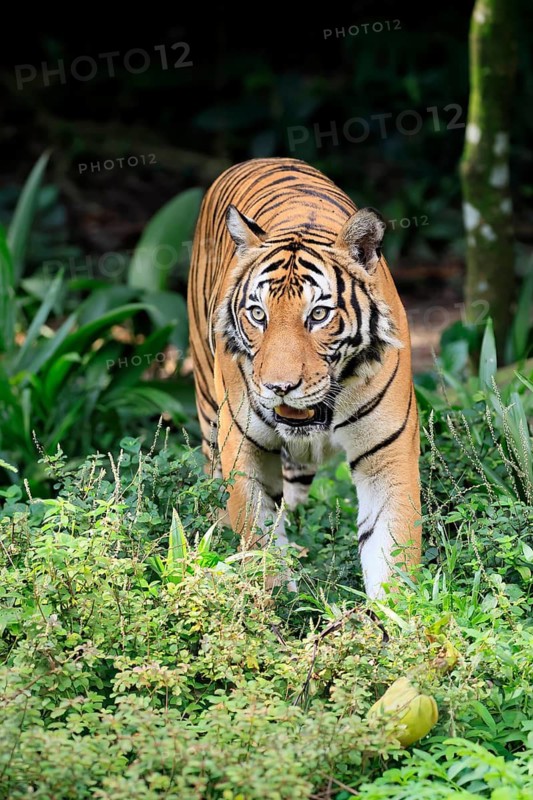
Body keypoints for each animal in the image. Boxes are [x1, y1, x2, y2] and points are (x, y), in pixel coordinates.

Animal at [187, 157, 421, 598]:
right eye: (258, 313)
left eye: (318, 315)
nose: (279, 387)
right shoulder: (242, 448)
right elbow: (260, 539)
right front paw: (277, 603)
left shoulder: (387, 456)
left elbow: (392, 552)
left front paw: (393, 614)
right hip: (210, 413)